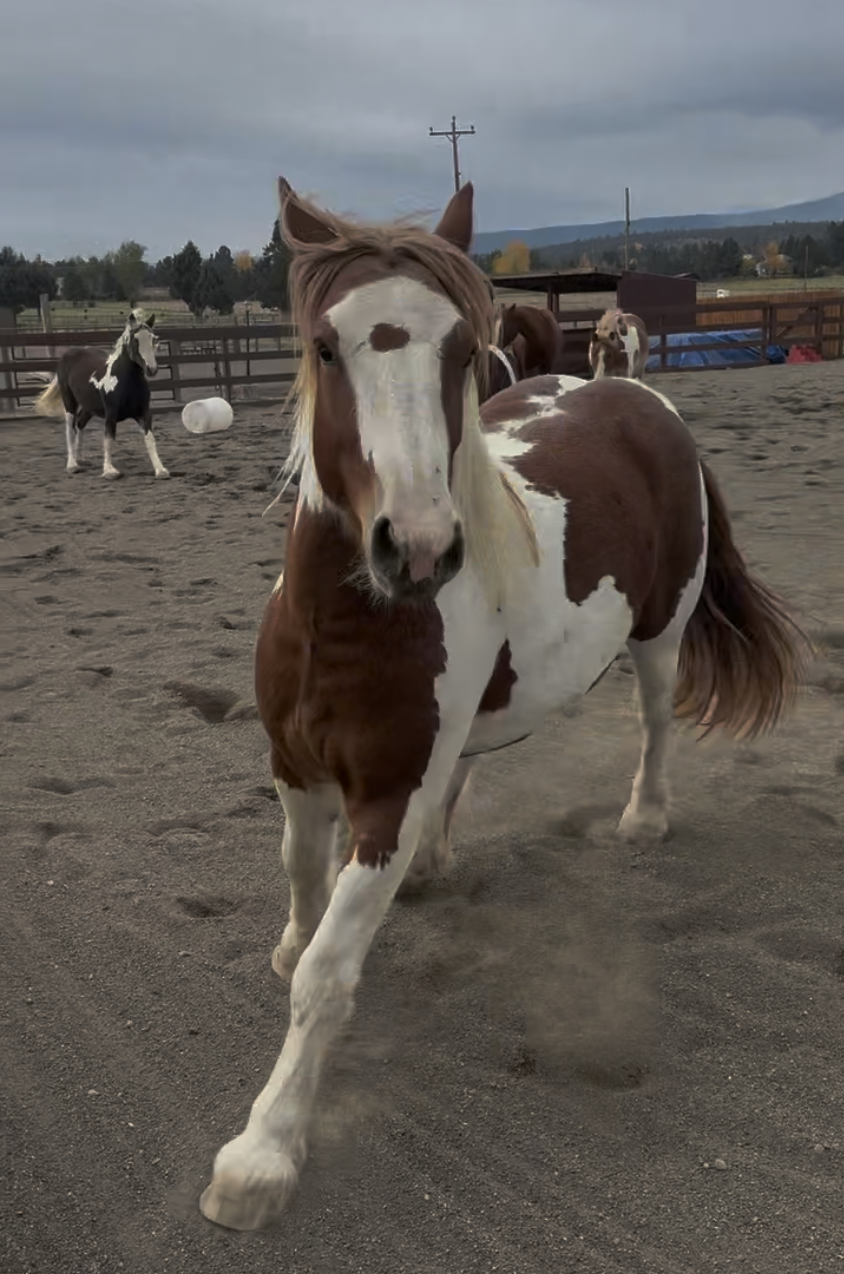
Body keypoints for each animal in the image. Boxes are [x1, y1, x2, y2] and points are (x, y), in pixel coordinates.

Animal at [34, 310, 170, 480]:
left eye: (153, 339)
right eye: (135, 340)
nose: (152, 369)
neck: (125, 381)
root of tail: (69, 353)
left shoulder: (144, 412)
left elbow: (150, 438)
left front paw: (160, 470)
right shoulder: (111, 413)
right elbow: (108, 439)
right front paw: (109, 471)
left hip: (89, 407)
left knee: (80, 424)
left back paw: (81, 459)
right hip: (69, 402)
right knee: (70, 429)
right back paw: (72, 465)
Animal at [198, 178, 809, 1231]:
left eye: (458, 348)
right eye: (324, 345)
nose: (418, 545)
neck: (341, 623)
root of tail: (634, 392)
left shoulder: (385, 800)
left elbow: (327, 976)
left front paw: (263, 1154)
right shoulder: (293, 771)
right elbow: (301, 884)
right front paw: (291, 940)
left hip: (661, 635)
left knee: (654, 724)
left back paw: (643, 818)